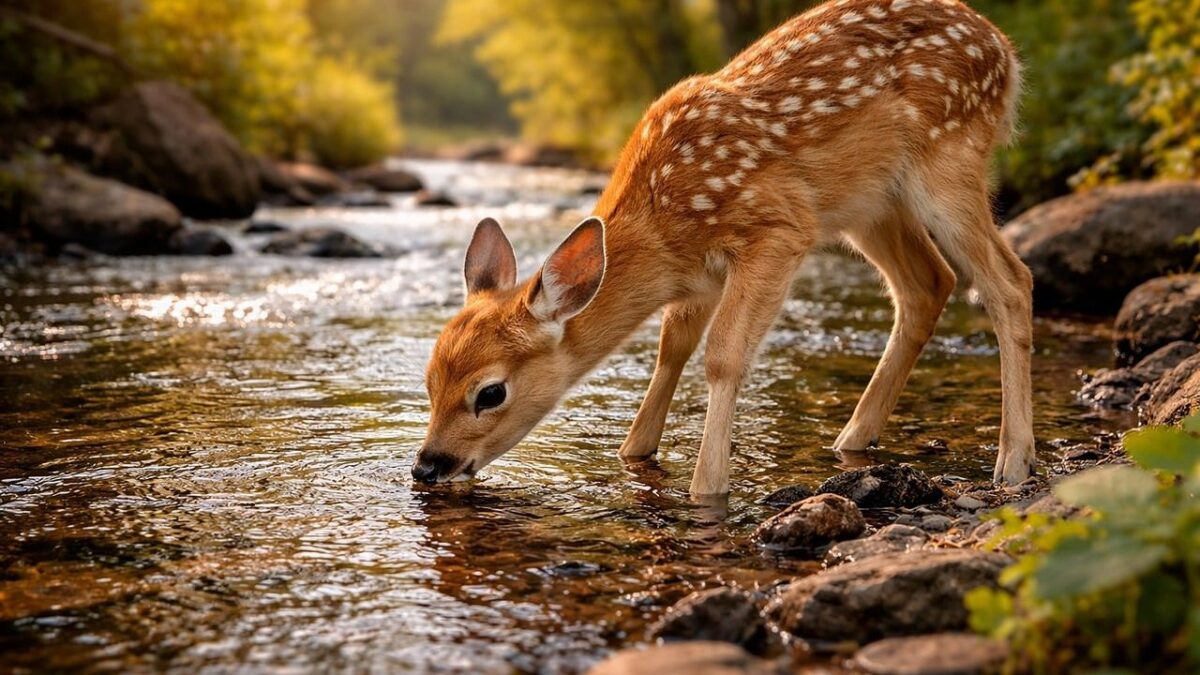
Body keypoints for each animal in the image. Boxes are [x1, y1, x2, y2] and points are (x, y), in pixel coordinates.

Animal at [413, 0, 1034, 495]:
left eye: (490, 392)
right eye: (430, 378)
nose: (427, 465)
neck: (663, 227)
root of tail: (1005, 48)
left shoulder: (778, 228)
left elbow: (723, 355)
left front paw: (706, 487)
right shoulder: (699, 277)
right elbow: (672, 349)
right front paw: (635, 453)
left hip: (947, 160)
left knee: (1009, 280)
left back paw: (1014, 462)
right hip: (871, 204)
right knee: (929, 284)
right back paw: (854, 436)